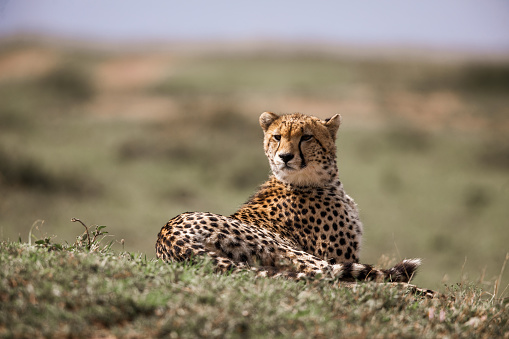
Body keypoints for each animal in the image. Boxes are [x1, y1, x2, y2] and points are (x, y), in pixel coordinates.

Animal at [157, 114, 422, 286]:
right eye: (277, 137)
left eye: (306, 137)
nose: (284, 156)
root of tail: (169, 234)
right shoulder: (339, 257)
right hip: (292, 252)